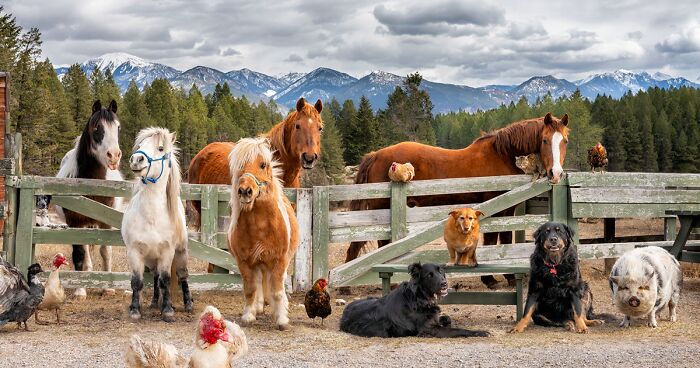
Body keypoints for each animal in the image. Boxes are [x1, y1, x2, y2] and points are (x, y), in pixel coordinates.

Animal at [120, 127, 191, 322]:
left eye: (160, 148)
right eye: (140, 145)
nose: (137, 159)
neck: (151, 217)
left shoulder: (167, 252)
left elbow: (166, 280)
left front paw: (167, 310)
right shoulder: (134, 252)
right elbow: (137, 282)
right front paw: (135, 310)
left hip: (180, 253)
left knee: (182, 276)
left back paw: (188, 304)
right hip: (152, 259)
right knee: (155, 277)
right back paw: (154, 302)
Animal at [227, 137, 298, 330]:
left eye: (263, 164)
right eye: (239, 166)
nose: (245, 191)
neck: (260, 227)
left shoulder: (280, 260)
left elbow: (278, 291)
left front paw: (282, 320)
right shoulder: (244, 262)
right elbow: (250, 289)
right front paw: (248, 316)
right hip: (258, 264)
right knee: (259, 283)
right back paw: (258, 307)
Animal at [340, 264, 486, 338]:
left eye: (441, 271)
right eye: (429, 275)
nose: (444, 284)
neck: (419, 298)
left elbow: (447, 318)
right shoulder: (429, 330)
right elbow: (457, 330)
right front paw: (479, 332)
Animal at [348, 112, 572, 288]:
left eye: (565, 141)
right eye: (545, 140)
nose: (556, 173)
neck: (502, 155)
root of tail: (376, 155)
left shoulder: (508, 211)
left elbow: (506, 239)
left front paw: (505, 277)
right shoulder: (496, 210)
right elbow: (492, 240)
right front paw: (491, 279)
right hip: (381, 208)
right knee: (381, 243)